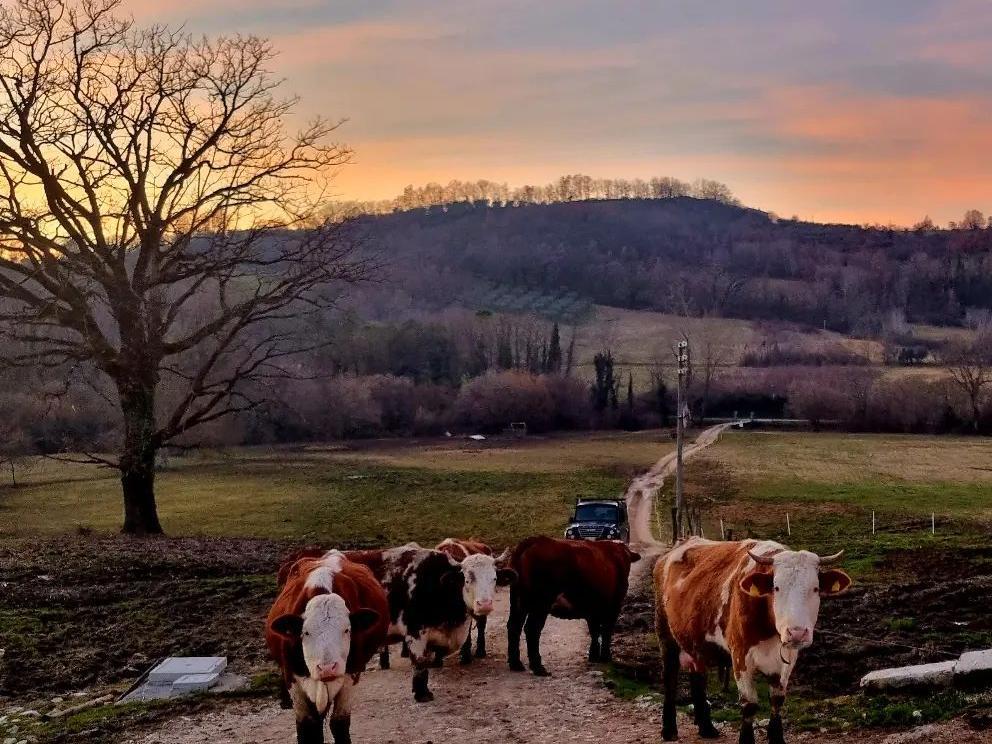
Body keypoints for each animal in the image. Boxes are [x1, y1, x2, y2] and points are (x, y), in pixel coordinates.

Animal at [266, 548, 390, 740]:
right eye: (305, 632)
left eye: (347, 630)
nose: (327, 668)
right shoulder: (293, 680)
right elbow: (307, 728)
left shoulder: (350, 677)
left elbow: (339, 724)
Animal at [436, 536, 520, 664]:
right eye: (466, 581)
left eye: (494, 578)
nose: (484, 605)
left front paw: (465, 657)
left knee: (481, 624)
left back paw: (480, 651)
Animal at [508, 536, 640, 676]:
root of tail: (536, 540)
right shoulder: (614, 606)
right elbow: (606, 631)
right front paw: (605, 657)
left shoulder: (593, 609)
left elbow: (594, 631)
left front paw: (594, 656)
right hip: (541, 602)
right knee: (532, 628)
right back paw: (538, 668)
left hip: (518, 601)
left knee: (514, 626)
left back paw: (516, 664)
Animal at [652, 536, 852, 744]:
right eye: (776, 587)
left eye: (816, 588)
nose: (796, 633)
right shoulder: (740, 656)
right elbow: (749, 704)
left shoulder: (788, 658)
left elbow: (777, 700)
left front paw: (777, 738)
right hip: (665, 634)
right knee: (670, 678)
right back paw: (669, 730)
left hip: (696, 643)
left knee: (698, 677)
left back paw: (706, 727)